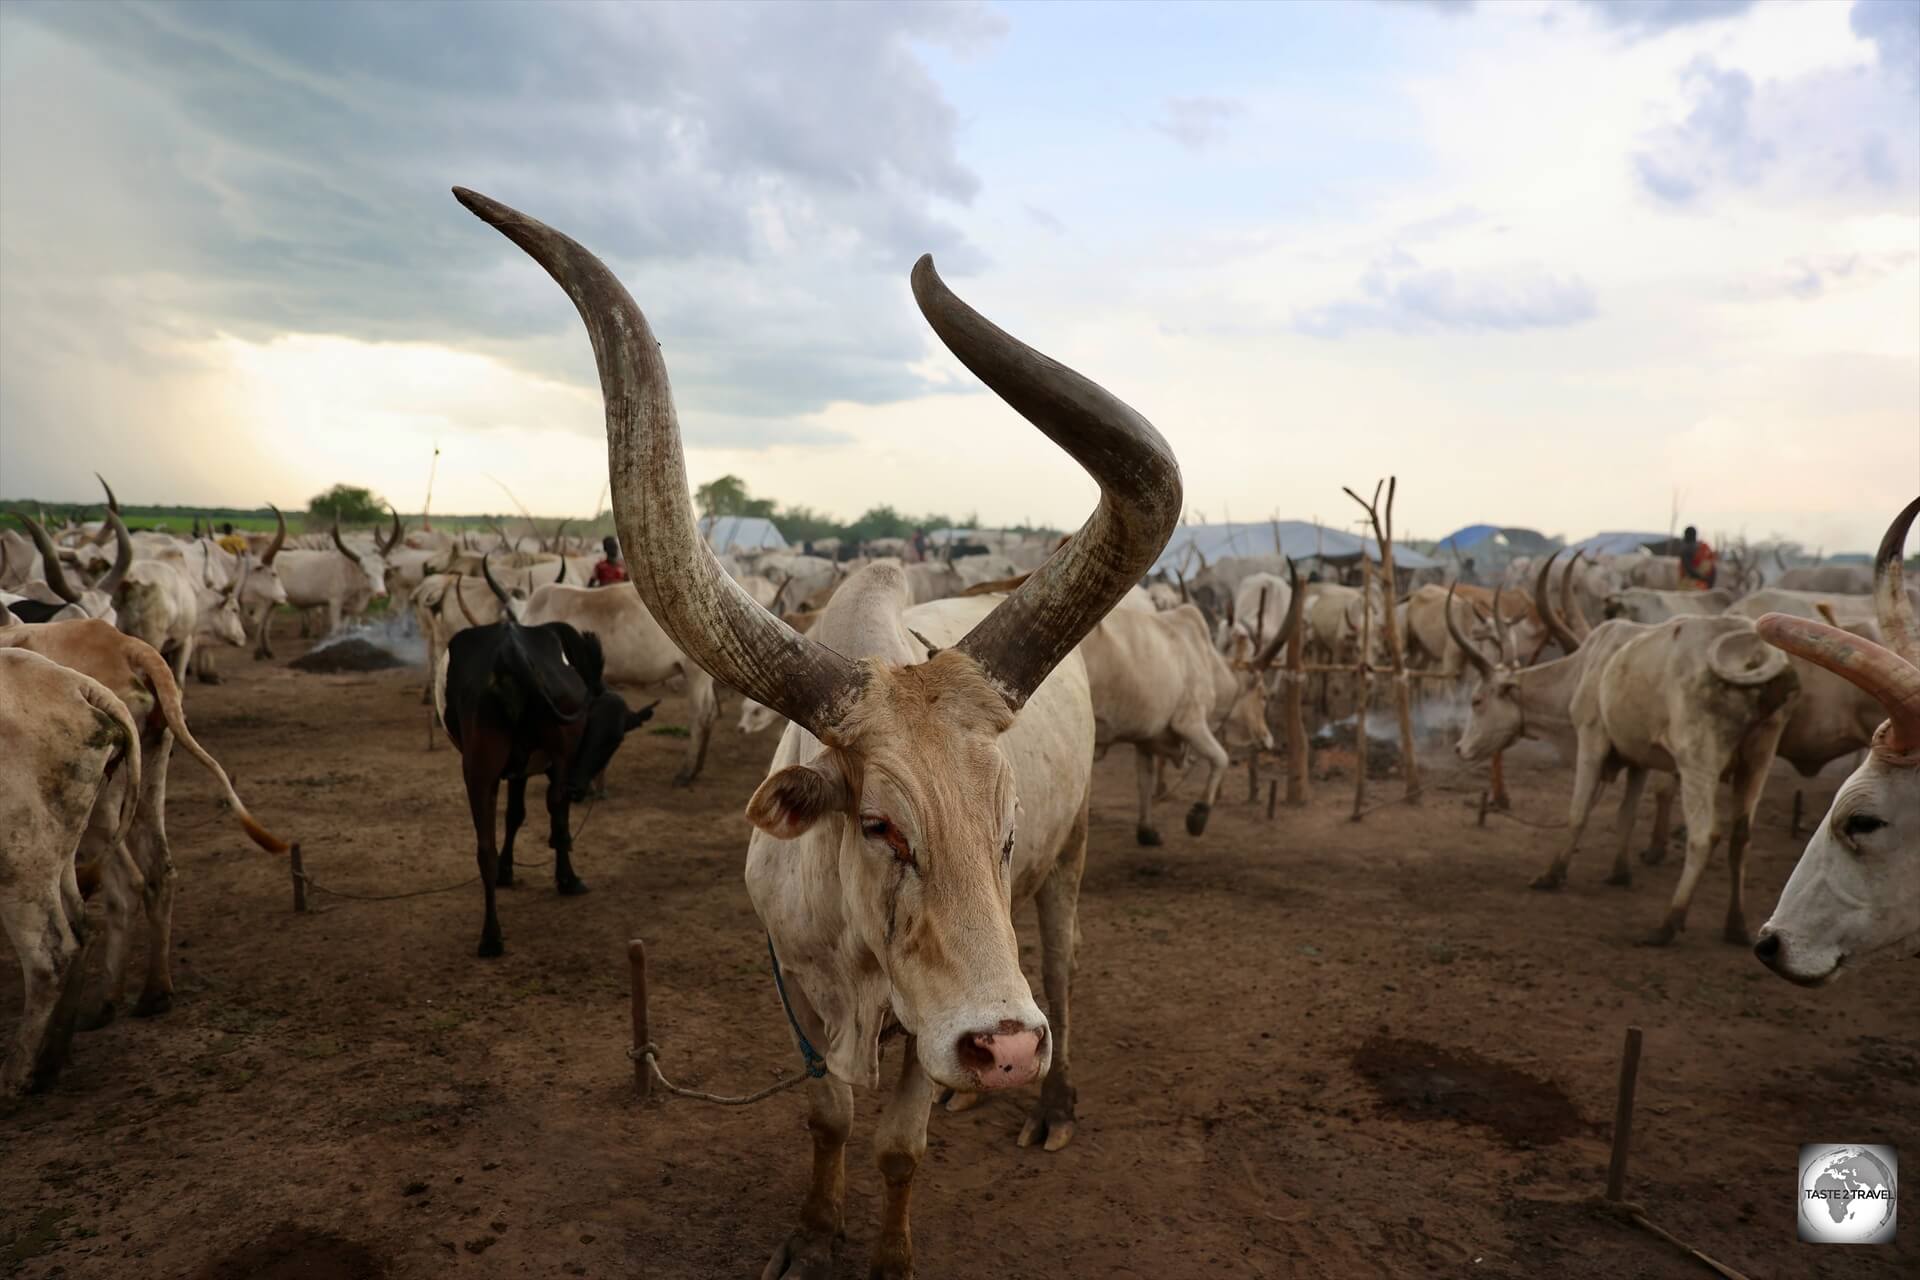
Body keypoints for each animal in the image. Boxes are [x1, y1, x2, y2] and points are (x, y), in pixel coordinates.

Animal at [435, 556, 652, 955]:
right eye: (610, 742)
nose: (583, 787)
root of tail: (512, 652)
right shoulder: (556, 760)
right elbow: (544, 814)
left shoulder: (518, 768)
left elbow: (515, 816)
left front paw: (507, 871)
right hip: (549, 755)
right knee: (556, 807)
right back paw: (565, 880)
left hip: (479, 768)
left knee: (484, 847)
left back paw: (491, 935)